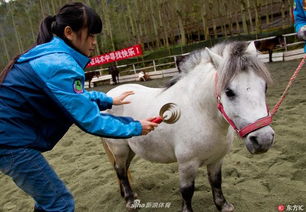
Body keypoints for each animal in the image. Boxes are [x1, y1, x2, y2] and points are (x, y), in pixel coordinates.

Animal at [103, 40, 274, 211]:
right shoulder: (187, 164)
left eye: (265, 87)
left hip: (130, 149)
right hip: (120, 149)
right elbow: (187, 190)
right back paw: (130, 200)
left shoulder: (216, 159)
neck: (199, 111)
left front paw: (223, 205)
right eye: (229, 91)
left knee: (123, 168)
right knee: (120, 170)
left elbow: (216, 182)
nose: (263, 139)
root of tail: (110, 96)